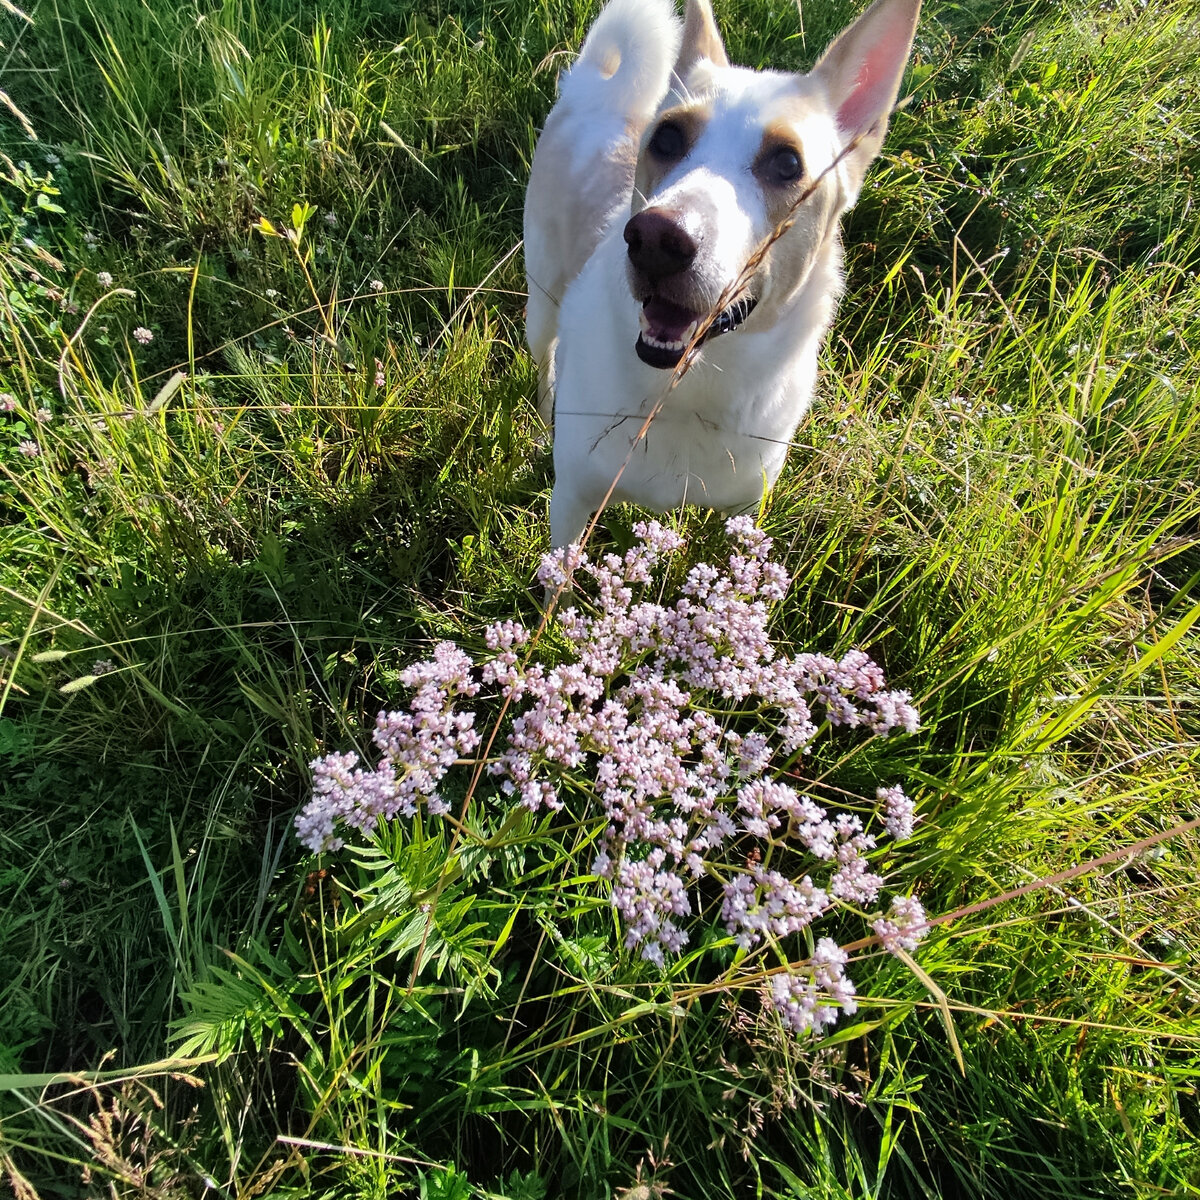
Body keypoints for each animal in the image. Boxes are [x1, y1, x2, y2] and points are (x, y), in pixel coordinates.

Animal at [523, 0, 916, 549]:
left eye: (787, 163)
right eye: (667, 138)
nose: (656, 239)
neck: (686, 393)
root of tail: (594, 86)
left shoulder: (745, 510)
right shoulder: (572, 504)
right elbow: (561, 569)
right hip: (542, 302)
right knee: (545, 356)